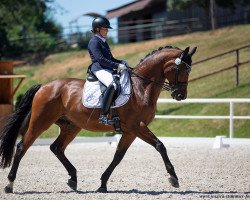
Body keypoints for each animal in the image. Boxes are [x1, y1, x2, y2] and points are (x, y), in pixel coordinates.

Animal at [0, 45, 196, 194]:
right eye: (182, 69)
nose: (181, 95)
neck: (141, 88)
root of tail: (45, 86)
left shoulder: (130, 131)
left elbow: (118, 157)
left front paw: (102, 184)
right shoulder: (137, 127)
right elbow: (160, 146)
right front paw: (173, 178)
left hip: (71, 126)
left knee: (57, 148)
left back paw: (73, 179)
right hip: (40, 122)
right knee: (22, 147)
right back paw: (9, 185)